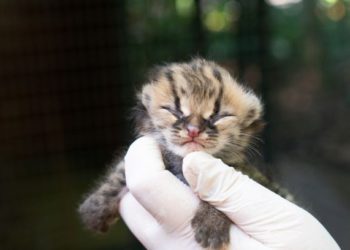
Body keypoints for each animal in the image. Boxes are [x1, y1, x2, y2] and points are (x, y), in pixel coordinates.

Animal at [78, 59, 290, 250]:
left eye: (218, 116)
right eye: (174, 111)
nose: (193, 130)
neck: (182, 161)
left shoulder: (254, 176)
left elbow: (222, 194)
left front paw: (211, 223)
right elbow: (121, 171)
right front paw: (96, 206)